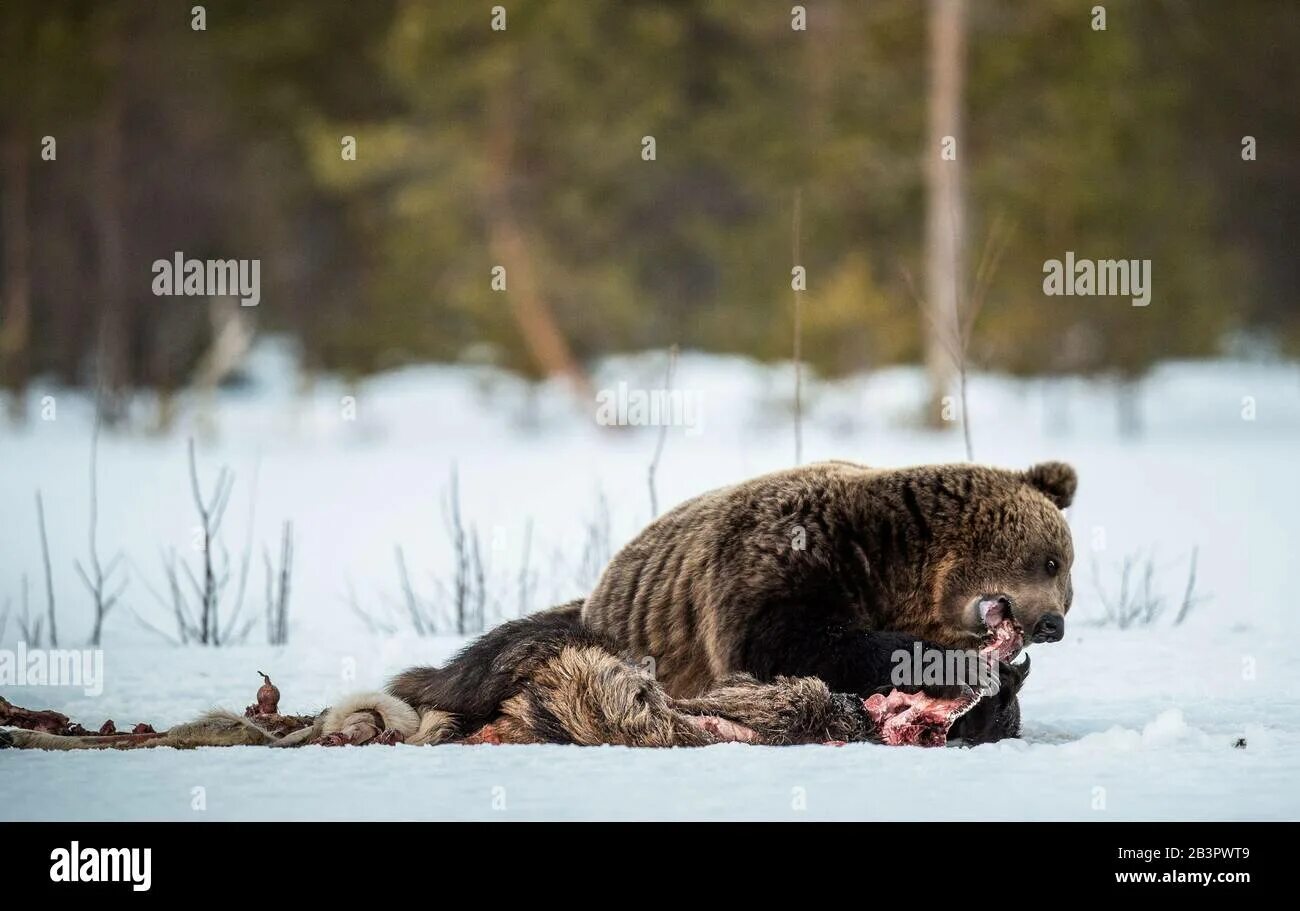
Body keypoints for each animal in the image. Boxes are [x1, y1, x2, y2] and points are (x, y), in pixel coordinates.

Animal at [387, 457, 1076, 743]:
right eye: (1051, 561)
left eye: (1067, 578)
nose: (1053, 625)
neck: (889, 566)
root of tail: (600, 591)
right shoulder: (780, 562)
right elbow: (793, 643)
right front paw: (960, 669)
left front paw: (998, 693)